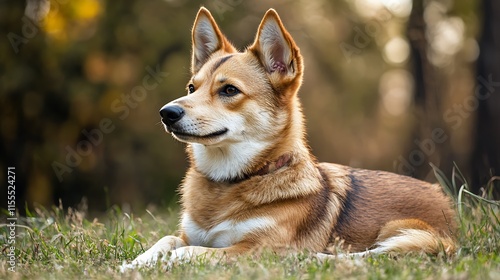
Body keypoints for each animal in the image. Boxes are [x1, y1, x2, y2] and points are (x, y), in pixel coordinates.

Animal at [122, 6, 458, 270]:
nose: (167, 113)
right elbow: (166, 240)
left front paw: (169, 261)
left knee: (368, 256)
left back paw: (318, 258)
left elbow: (192, 252)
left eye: (229, 90)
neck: (233, 180)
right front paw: (134, 264)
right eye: (192, 88)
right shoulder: (187, 233)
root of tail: (448, 205)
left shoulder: (258, 249)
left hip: (407, 234)